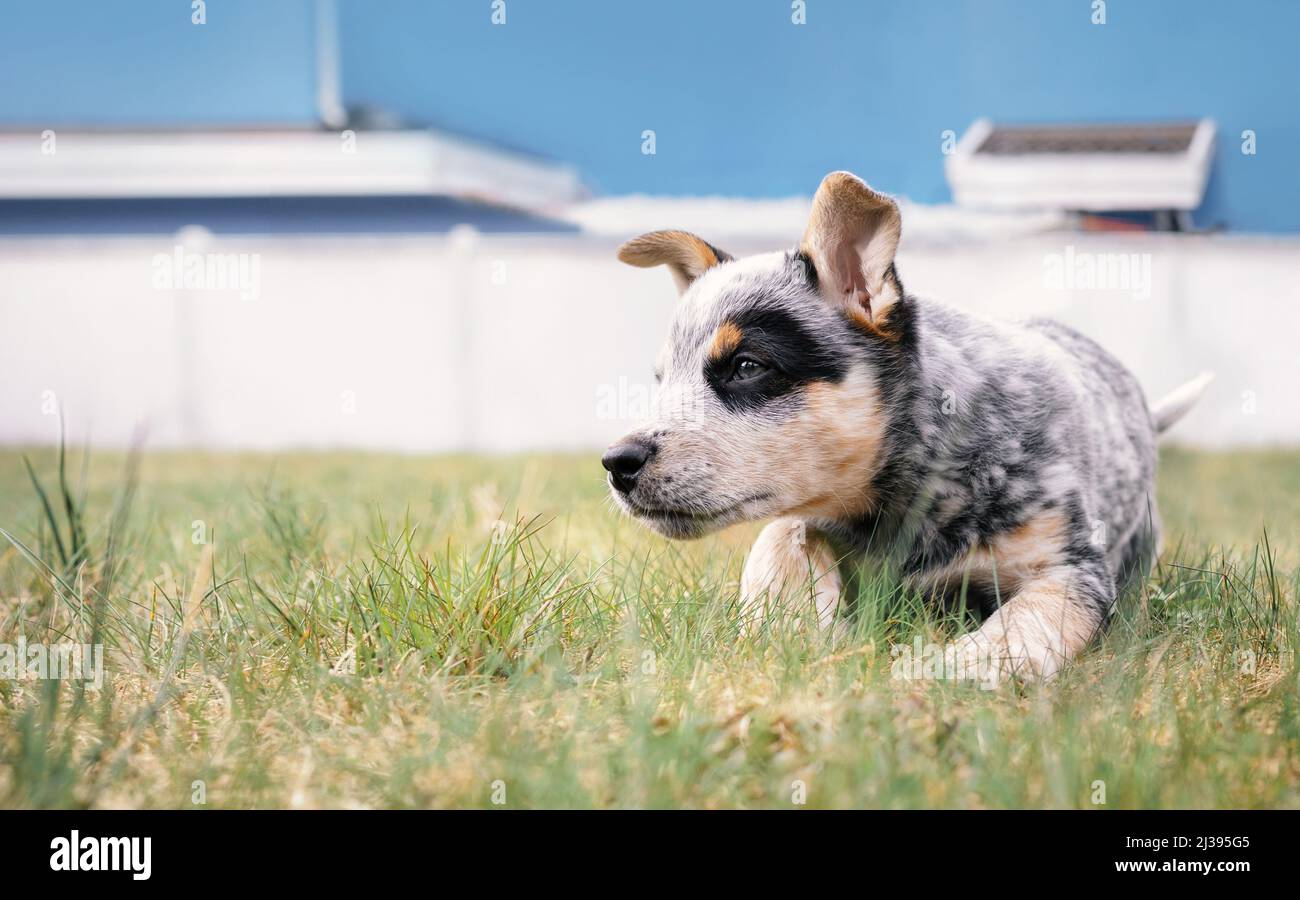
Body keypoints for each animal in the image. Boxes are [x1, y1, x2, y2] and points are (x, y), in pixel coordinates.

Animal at [603, 170, 1211, 681]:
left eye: (747, 366)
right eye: (662, 379)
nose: (616, 462)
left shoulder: (1072, 568)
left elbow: (1021, 626)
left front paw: (943, 672)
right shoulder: (808, 513)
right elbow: (778, 537)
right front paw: (796, 628)